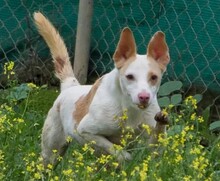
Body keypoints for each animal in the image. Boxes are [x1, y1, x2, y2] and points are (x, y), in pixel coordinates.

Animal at [33, 12, 169, 166]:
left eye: (154, 77)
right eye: (129, 76)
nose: (144, 97)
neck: (128, 108)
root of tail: (70, 86)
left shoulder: (154, 145)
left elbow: (155, 145)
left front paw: (162, 120)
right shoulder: (85, 131)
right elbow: (116, 151)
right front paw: (125, 157)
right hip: (51, 153)